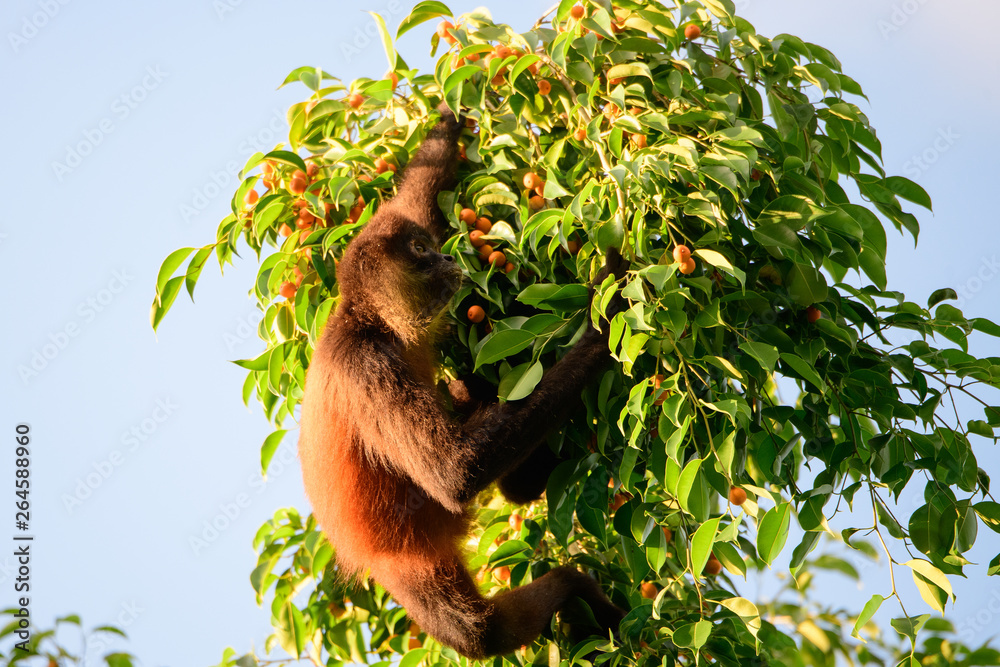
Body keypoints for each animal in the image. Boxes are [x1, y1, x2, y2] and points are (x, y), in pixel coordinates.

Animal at [297, 104, 627, 659]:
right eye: (420, 251)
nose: (448, 258)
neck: (369, 322)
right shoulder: (366, 364)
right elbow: (454, 473)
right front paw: (605, 326)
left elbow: (417, 194)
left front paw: (454, 114)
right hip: (411, 562)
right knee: (480, 630)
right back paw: (572, 587)